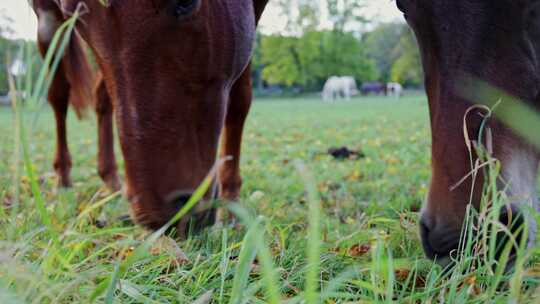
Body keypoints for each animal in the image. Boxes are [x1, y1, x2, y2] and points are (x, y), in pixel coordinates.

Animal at [33, 0, 268, 233]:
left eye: (186, 2)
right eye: (73, 15)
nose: (163, 217)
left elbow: (240, 99)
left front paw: (232, 208)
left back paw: (110, 179)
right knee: (59, 94)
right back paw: (64, 178)